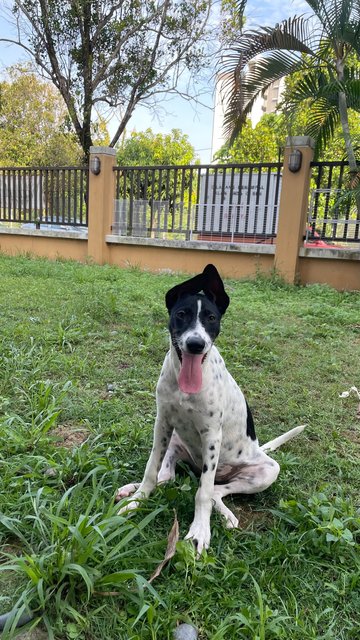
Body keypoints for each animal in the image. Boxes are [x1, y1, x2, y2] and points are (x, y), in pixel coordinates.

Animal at [116, 262, 306, 552]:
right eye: (181, 314)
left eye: (211, 318)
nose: (196, 344)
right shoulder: (162, 424)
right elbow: (151, 470)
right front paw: (137, 499)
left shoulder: (211, 435)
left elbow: (203, 492)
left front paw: (199, 530)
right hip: (176, 441)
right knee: (166, 477)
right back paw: (131, 488)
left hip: (266, 471)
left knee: (215, 490)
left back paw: (226, 515)